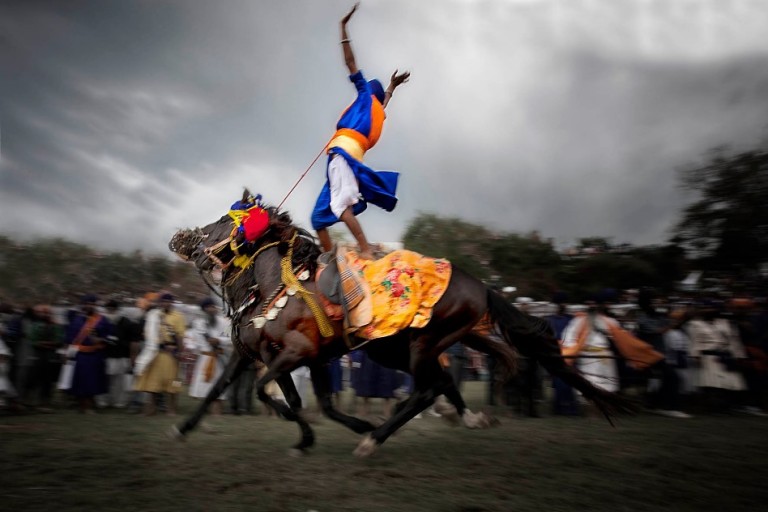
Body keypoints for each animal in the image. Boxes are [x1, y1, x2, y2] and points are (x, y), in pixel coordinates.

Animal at [171, 192, 632, 456]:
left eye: (223, 221)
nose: (182, 239)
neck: (271, 288)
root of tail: (480, 285)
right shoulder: (267, 356)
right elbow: (230, 389)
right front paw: (184, 428)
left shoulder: (296, 354)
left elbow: (274, 393)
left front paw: (321, 432)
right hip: (398, 348)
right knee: (443, 381)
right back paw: (462, 418)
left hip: (418, 345)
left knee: (429, 388)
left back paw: (376, 438)